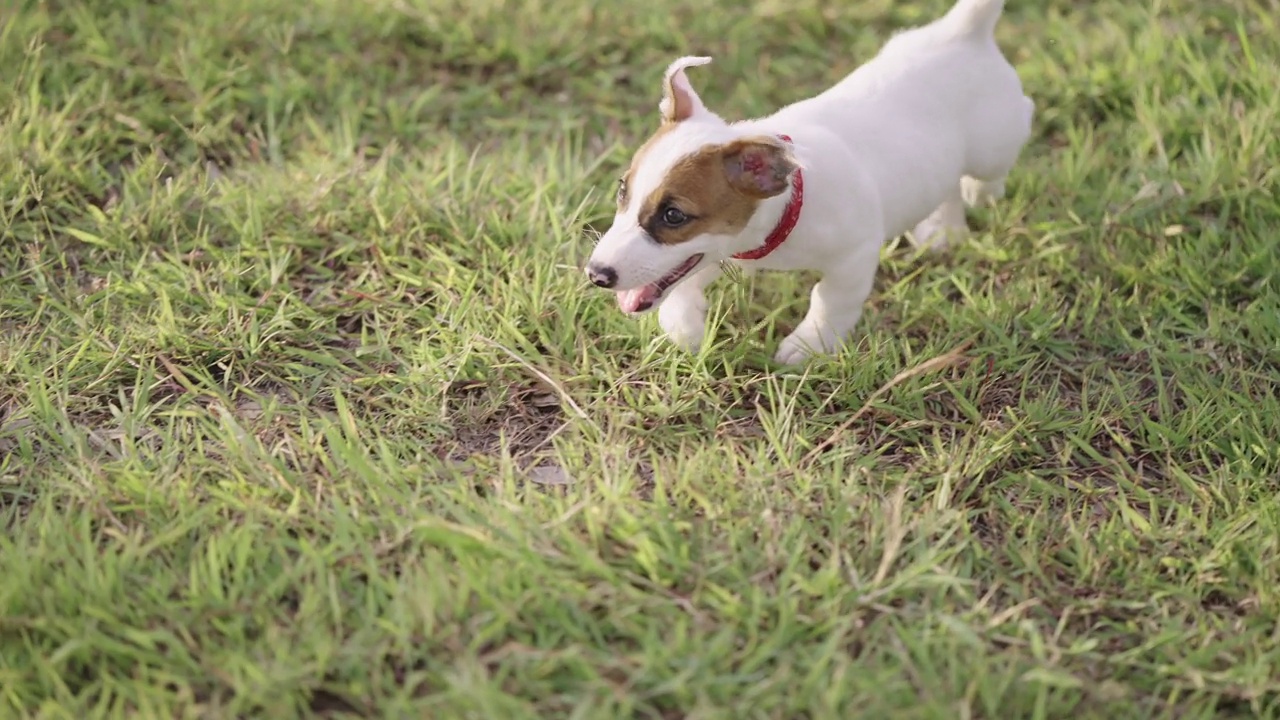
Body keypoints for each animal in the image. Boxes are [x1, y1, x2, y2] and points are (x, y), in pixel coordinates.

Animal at [586, 0, 1034, 361]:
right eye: (623, 190)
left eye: (674, 216)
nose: (596, 274)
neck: (786, 210)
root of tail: (962, 31)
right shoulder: (720, 254)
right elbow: (680, 288)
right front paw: (686, 329)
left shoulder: (855, 255)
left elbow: (829, 301)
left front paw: (808, 346)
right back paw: (942, 231)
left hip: (994, 145)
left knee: (1004, 144)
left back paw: (979, 192)